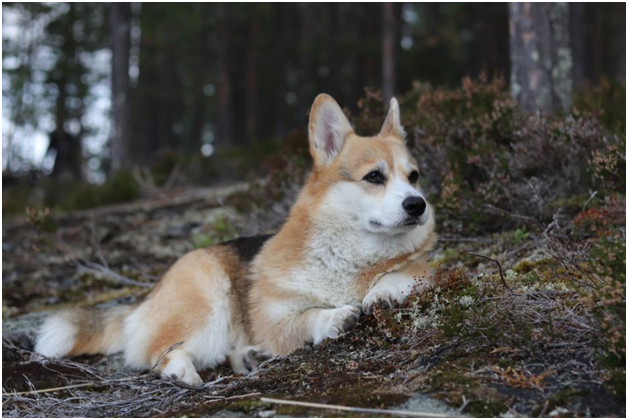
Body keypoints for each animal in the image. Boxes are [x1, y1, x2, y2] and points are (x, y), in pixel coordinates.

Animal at [34, 94, 436, 384]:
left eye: (414, 176)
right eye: (374, 177)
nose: (418, 205)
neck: (351, 258)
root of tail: (145, 299)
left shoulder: (423, 272)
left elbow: (401, 275)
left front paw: (380, 292)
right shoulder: (276, 318)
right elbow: (306, 318)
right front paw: (334, 316)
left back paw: (251, 356)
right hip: (208, 303)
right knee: (159, 352)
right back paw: (182, 371)